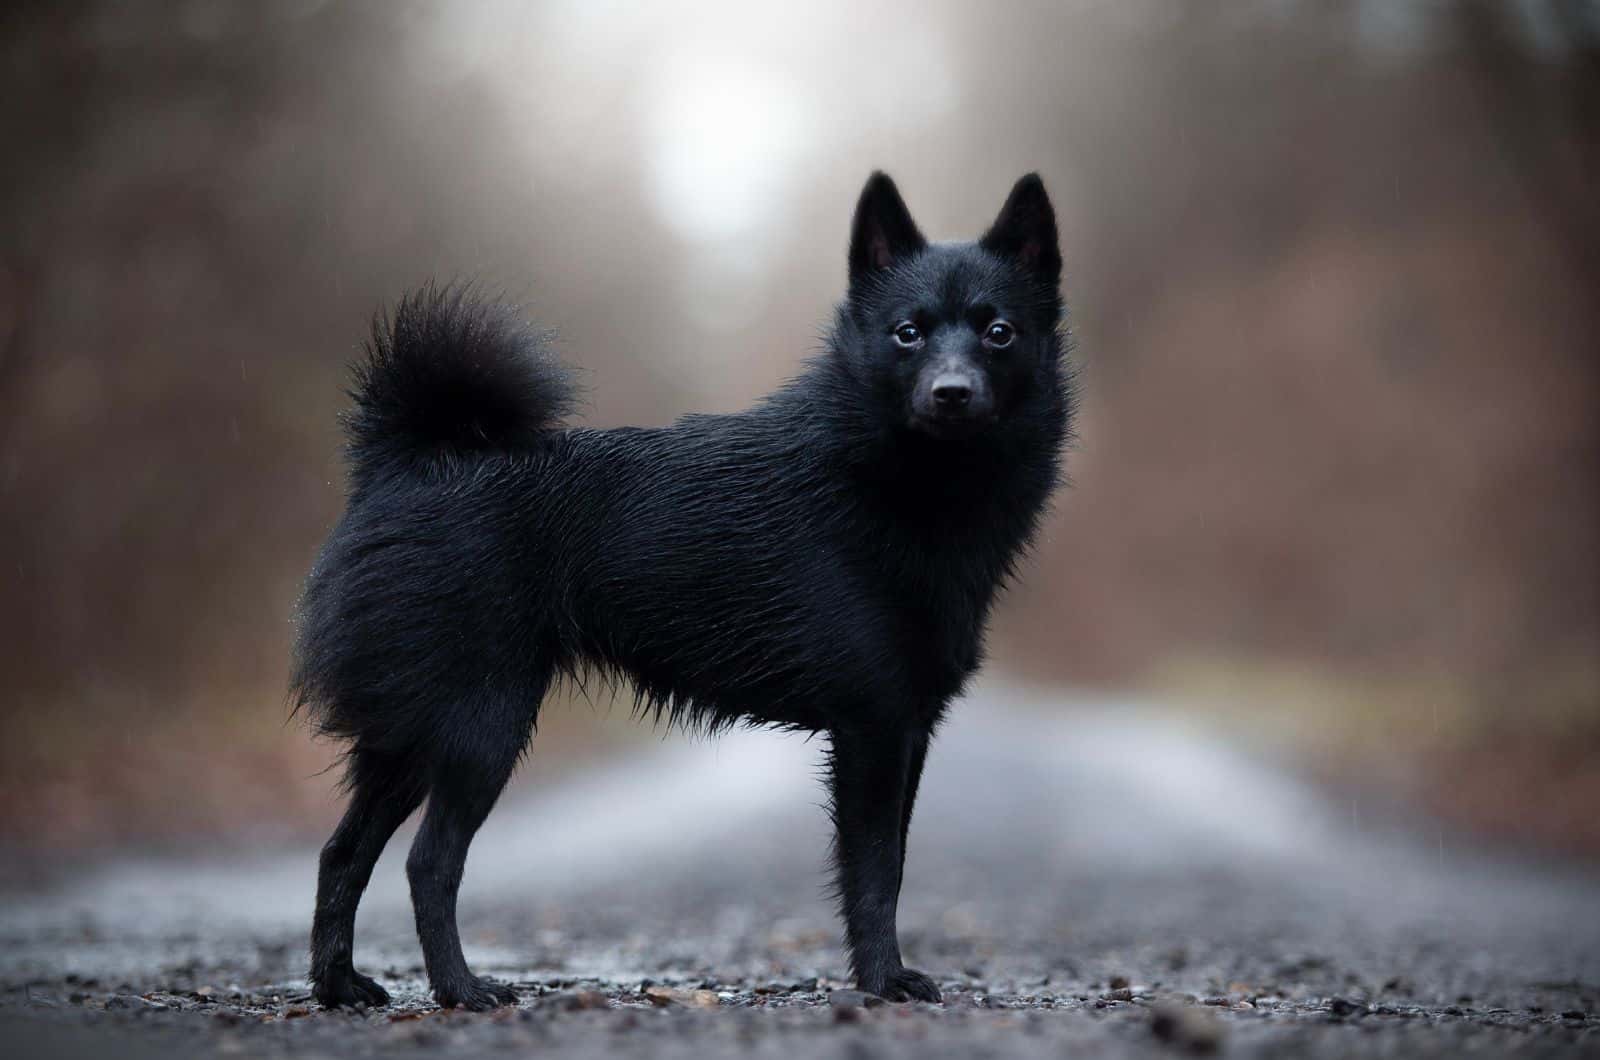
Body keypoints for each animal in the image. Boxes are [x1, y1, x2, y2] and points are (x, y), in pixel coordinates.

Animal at [297, 174, 1075, 1011]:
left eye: (999, 332)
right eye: (907, 334)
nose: (951, 393)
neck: (898, 482)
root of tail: (408, 461)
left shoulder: (909, 729)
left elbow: (892, 863)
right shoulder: (873, 728)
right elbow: (874, 872)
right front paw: (881, 981)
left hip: (409, 735)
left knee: (342, 852)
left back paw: (339, 985)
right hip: (481, 726)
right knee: (428, 863)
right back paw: (461, 989)